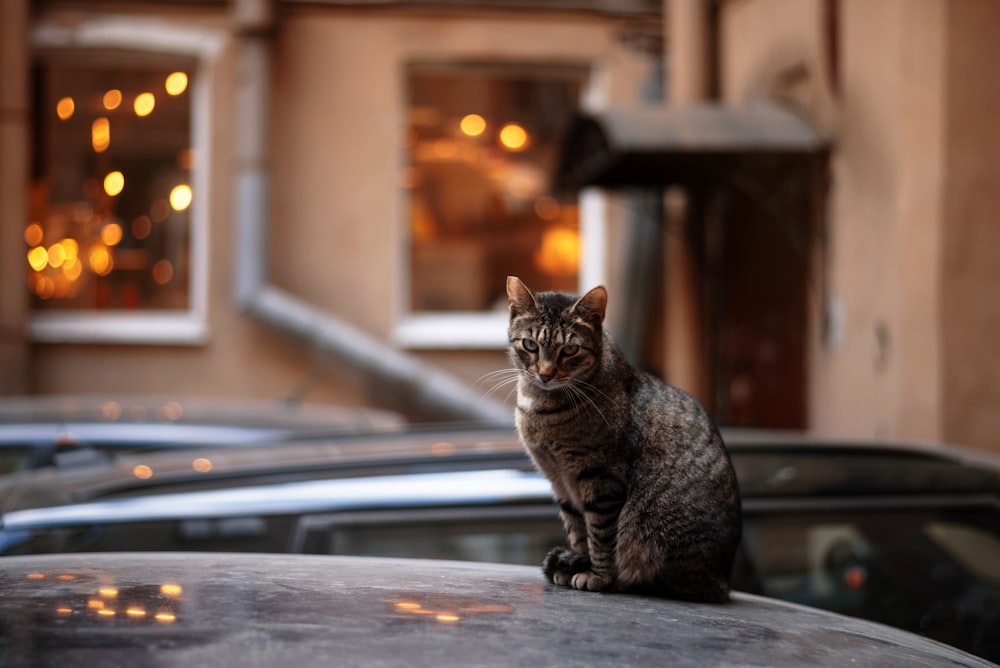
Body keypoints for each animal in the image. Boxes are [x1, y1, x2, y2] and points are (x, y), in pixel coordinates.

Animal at [508, 274, 744, 604]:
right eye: (530, 345)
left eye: (570, 350)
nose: (545, 374)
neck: (541, 406)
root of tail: (723, 578)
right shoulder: (560, 482)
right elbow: (578, 532)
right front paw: (577, 564)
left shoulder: (602, 479)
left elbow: (600, 536)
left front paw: (597, 576)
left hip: (653, 534)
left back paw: (622, 581)